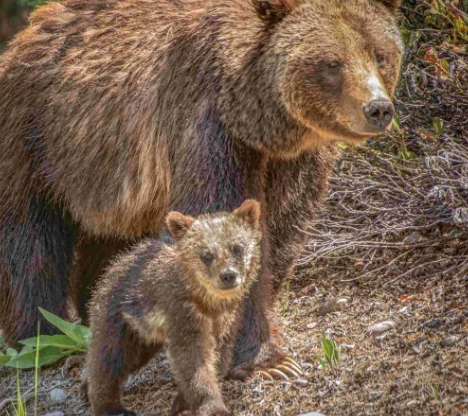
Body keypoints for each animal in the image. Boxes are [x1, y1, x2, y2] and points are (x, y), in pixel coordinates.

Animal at [0, 0, 402, 374]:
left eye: (380, 54)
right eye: (332, 63)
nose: (377, 108)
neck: (260, 124)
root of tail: (22, 36)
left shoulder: (294, 164)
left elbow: (277, 232)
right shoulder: (206, 128)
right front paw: (264, 360)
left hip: (108, 182)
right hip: (39, 140)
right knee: (28, 243)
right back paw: (39, 340)